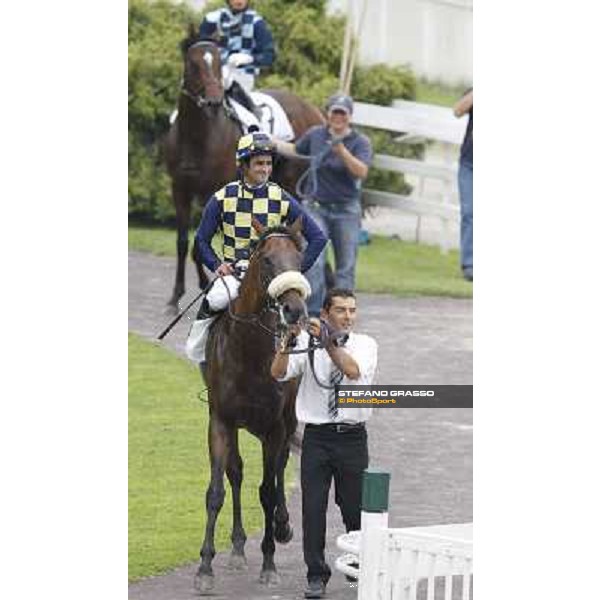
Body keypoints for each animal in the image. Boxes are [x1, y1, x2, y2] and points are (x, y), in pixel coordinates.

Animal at [163, 31, 324, 314]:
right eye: (193, 64)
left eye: (218, 63)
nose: (213, 101)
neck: (198, 137)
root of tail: (313, 110)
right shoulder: (180, 189)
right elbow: (184, 243)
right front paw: (176, 297)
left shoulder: (210, 191)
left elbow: (197, 247)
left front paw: (205, 285)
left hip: (293, 186)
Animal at [195, 218, 310, 592]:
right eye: (268, 260)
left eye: (299, 259)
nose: (294, 310)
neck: (248, 352)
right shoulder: (220, 420)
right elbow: (217, 490)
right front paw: (205, 568)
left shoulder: (274, 427)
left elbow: (269, 491)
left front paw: (270, 563)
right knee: (237, 472)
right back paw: (238, 546)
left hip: (286, 423)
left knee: (278, 471)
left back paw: (283, 526)